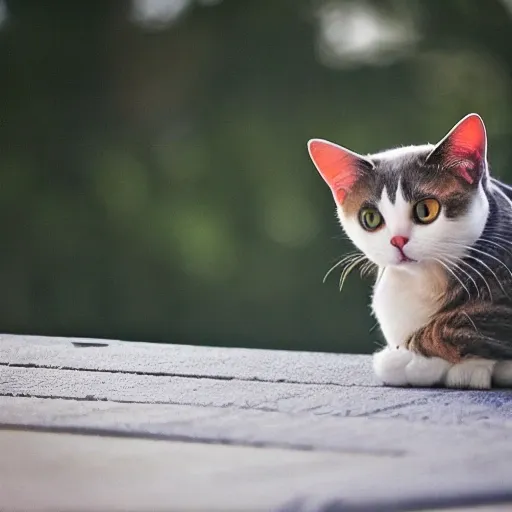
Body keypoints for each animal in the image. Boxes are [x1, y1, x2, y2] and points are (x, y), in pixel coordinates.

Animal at [306, 114, 512, 390]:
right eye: (370, 218)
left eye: (426, 210)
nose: (398, 240)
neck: (425, 283)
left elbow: (465, 321)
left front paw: (404, 360)